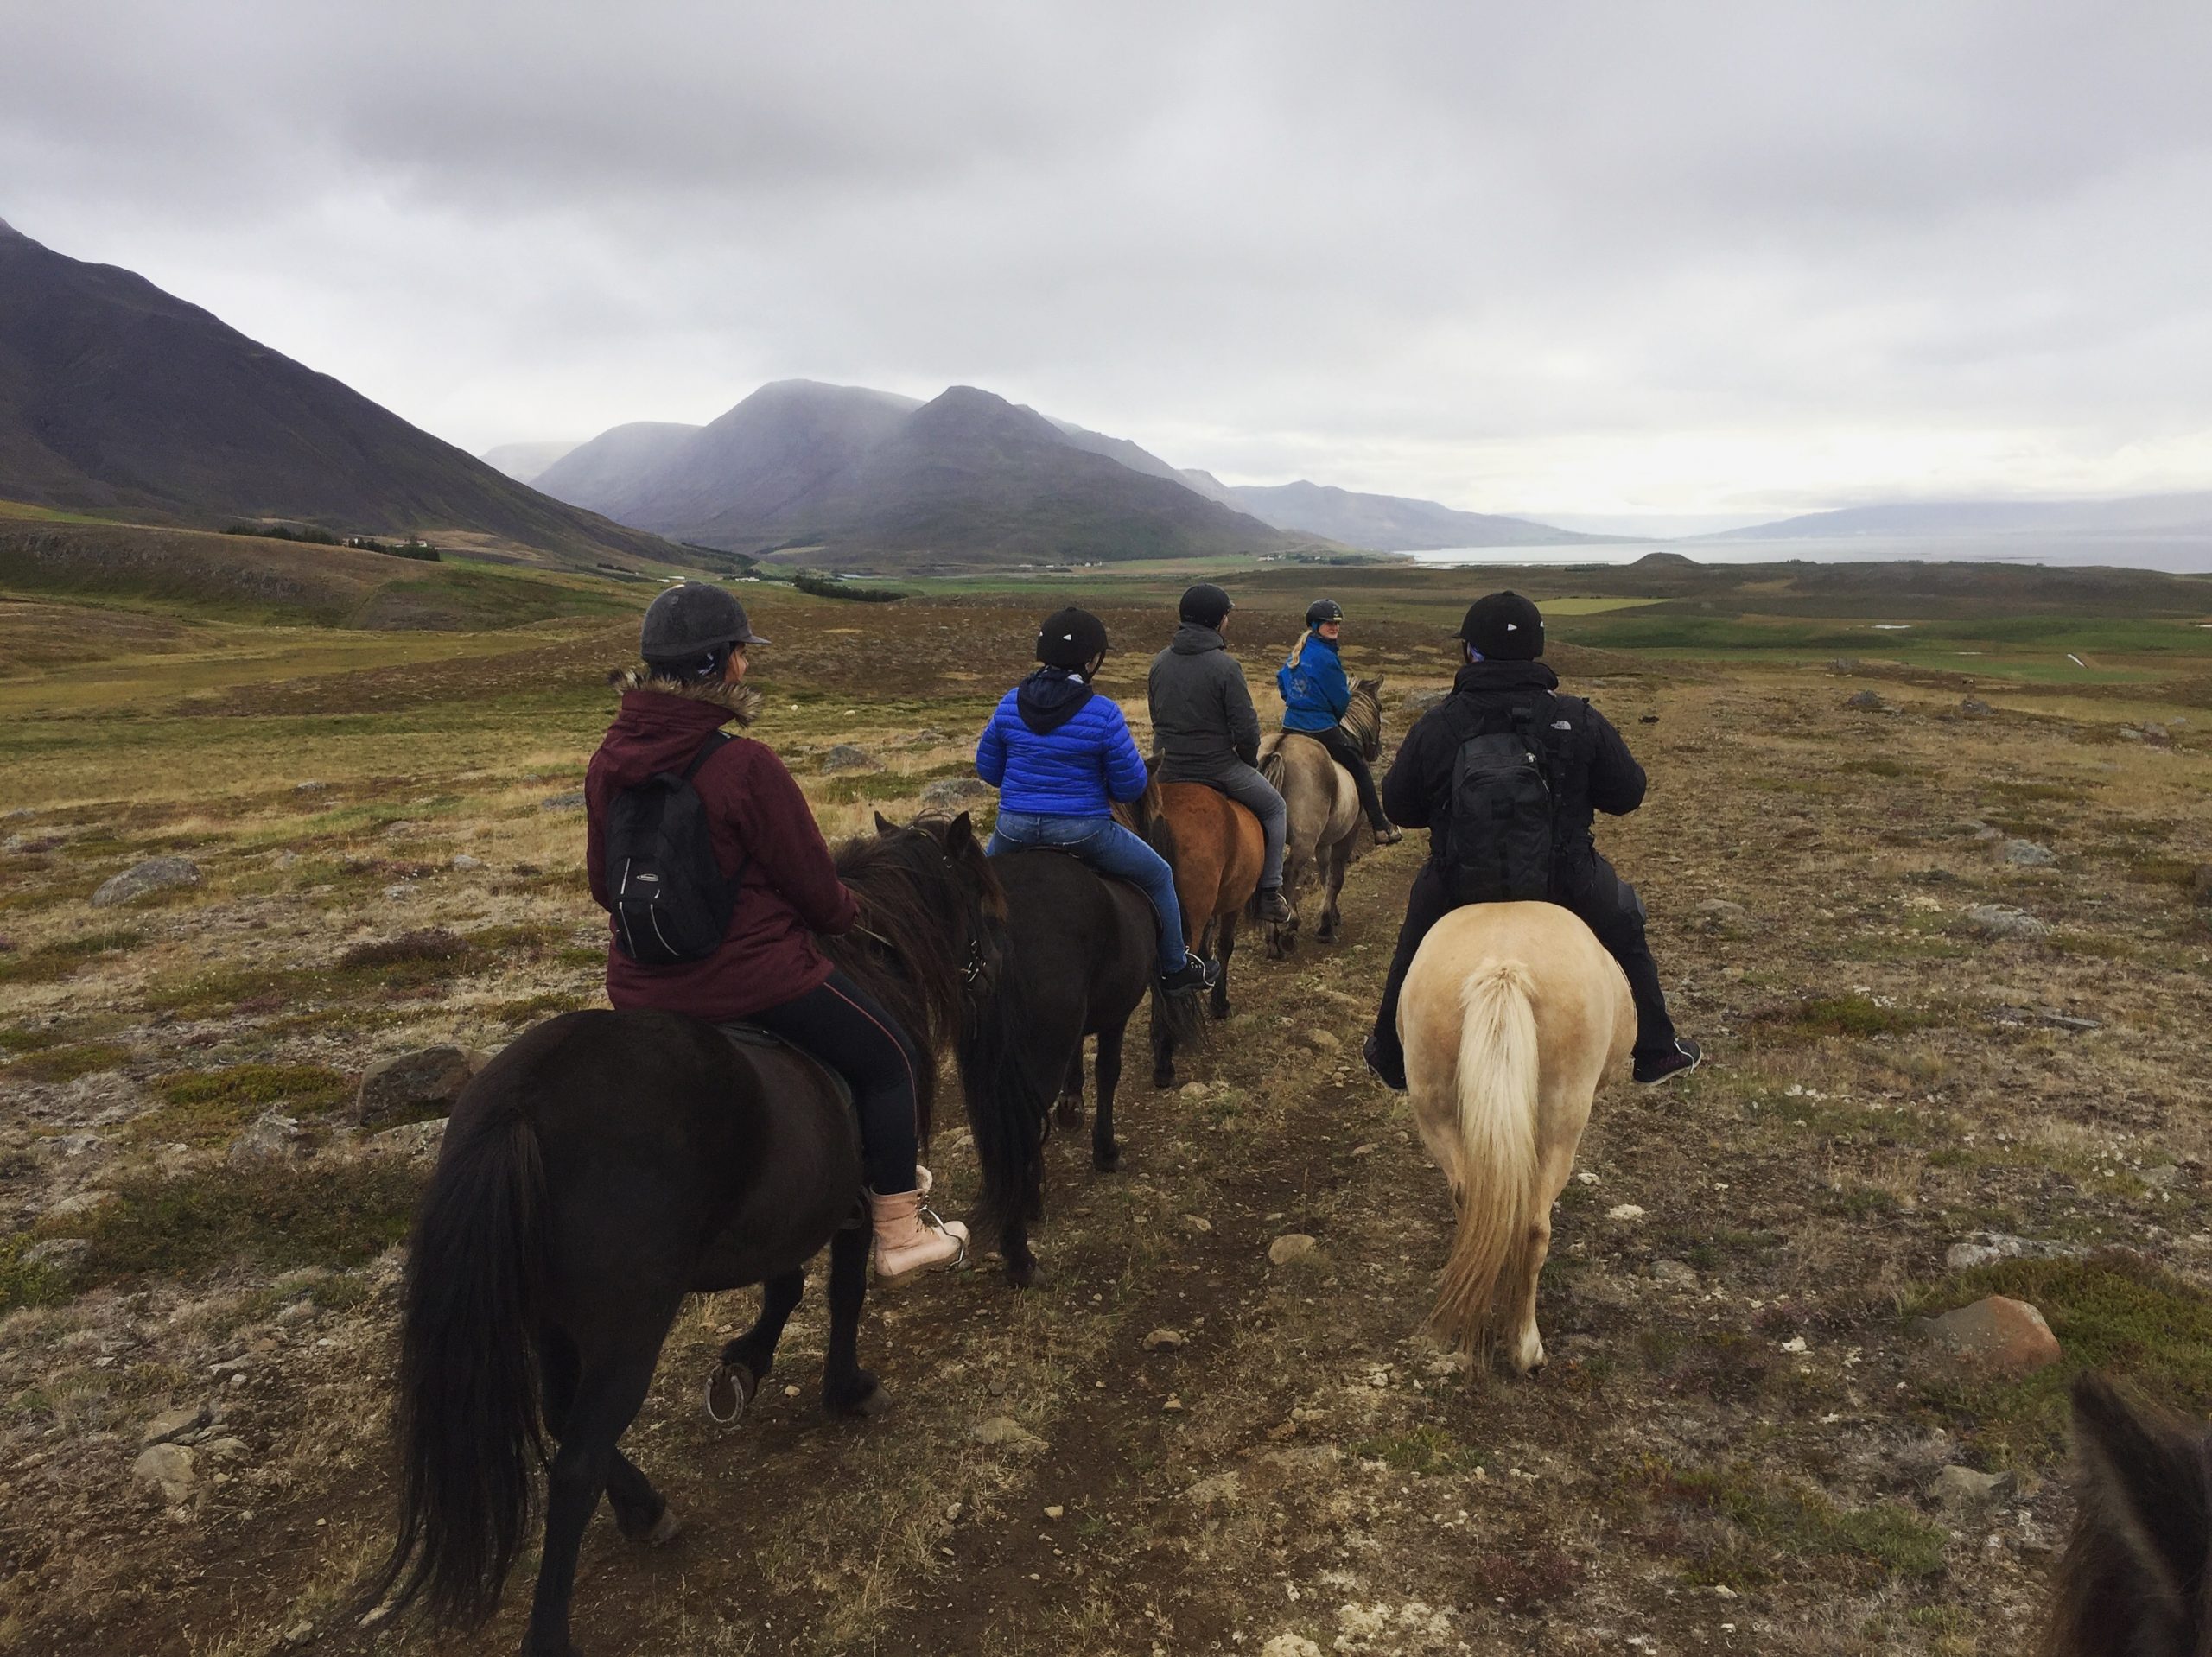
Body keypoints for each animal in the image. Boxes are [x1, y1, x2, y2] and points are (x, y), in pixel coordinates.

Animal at [371, 813, 1007, 1657]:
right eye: (983, 899)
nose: (997, 974)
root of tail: (517, 1106)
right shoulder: (851, 1203)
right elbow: (840, 1294)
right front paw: (844, 1389)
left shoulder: (785, 1216)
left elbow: (787, 1286)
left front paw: (743, 1365)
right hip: (629, 1322)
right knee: (575, 1459)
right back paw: (559, 1620)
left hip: (552, 1316)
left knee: (562, 1418)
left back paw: (645, 1508)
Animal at [956, 843, 1202, 1287]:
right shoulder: (1116, 1016)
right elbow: (1109, 1072)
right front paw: (1106, 1151)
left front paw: (1071, 1107)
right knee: (1021, 1127)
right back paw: (1020, 1256)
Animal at [1255, 674, 1386, 958]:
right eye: (1380, 708)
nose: (1376, 750)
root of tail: (1279, 749)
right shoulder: (1347, 836)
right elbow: (1336, 877)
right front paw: (1325, 926)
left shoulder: (1325, 841)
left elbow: (1325, 874)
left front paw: (1332, 915)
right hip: (1304, 840)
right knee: (1289, 872)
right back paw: (1290, 925)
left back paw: (1273, 938)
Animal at [1397, 900, 1633, 1370]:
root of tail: (1503, 969)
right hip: (1561, 1121)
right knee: (1533, 1227)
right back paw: (1526, 1347)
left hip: (1436, 1112)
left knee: (1475, 1207)